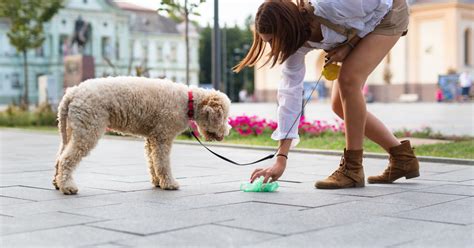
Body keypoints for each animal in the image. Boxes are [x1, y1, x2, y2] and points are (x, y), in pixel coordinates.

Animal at [53, 76, 231, 195]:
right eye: (224, 116)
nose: (227, 132)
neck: (188, 102)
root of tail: (72, 92)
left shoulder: (152, 138)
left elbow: (153, 162)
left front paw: (157, 182)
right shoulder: (163, 137)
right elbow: (162, 163)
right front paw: (169, 183)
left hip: (71, 130)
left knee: (59, 157)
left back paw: (57, 183)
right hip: (88, 129)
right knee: (66, 159)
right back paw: (68, 187)